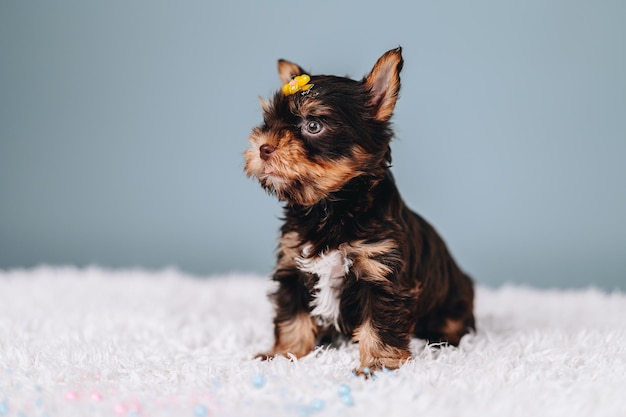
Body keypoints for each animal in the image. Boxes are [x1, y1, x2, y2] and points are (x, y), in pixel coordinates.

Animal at [243, 47, 472, 372]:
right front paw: (285, 354)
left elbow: (379, 324)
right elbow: (292, 315)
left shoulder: (381, 272)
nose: (263, 147)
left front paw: (378, 366)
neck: (329, 208)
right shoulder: (292, 266)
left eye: (313, 125)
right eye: (268, 123)